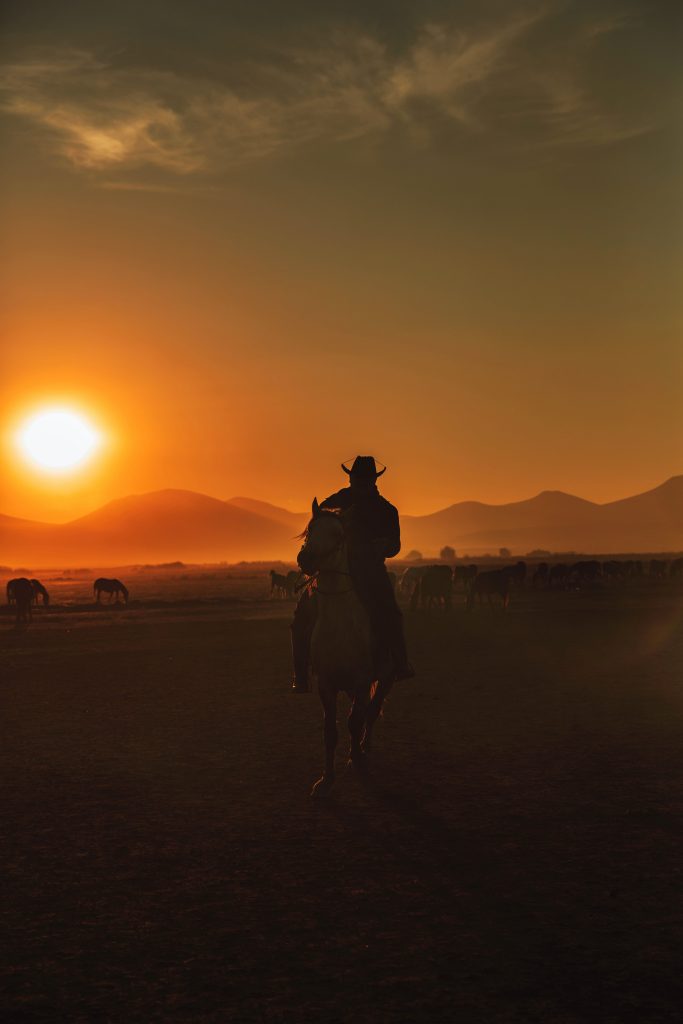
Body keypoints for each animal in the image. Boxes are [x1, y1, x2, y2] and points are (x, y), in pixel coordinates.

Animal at [296, 499, 393, 794]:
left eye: (339, 536)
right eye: (310, 529)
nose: (306, 559)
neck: (340, 626)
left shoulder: (362, 680)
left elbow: (354, 721)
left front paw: (357, 761)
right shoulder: (327, 684)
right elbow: (331, 731)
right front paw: (325, 780)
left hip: (385, 677)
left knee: (371, 711)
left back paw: (363, 748)